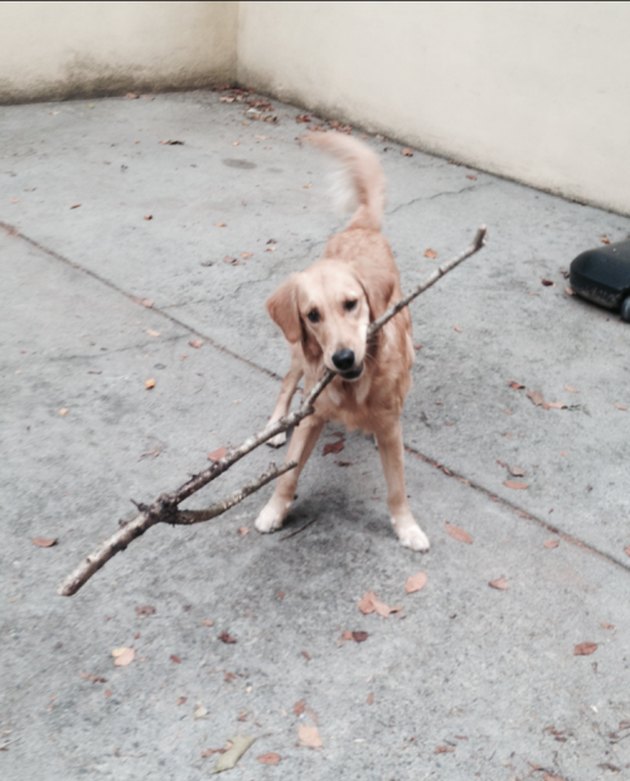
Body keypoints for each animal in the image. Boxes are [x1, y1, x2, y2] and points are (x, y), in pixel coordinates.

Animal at [256, 131, 430, 552]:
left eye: (351, 304)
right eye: (312, 315)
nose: (344, 359)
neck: (355, 388)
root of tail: (361, 227)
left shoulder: (390, 428)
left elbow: (396, 488)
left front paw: (406, 527)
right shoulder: (312, 416)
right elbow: (288, 473)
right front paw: (274, 510)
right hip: (299, 357)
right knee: (286, 385)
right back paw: (275, 424)